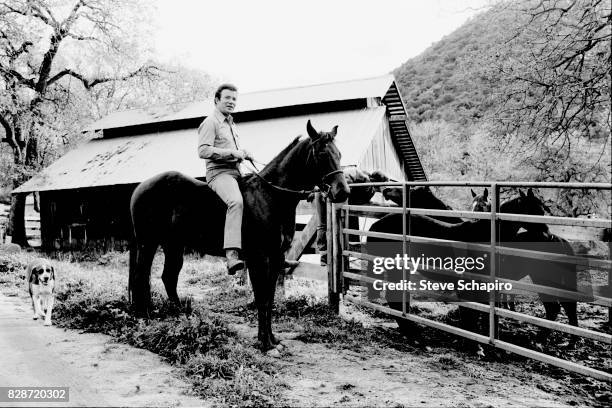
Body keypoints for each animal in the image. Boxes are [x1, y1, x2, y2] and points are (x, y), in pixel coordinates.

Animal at [128, 120, 350, 350]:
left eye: (339, 153)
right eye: (322, 154)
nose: (342, 191)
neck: (270, 196)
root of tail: (141, 186)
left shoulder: (275, 257)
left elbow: (270, 298)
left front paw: (271, 339)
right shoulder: (259, 258)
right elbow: (262, 298)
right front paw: (265, 343)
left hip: (173, 245)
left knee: (168, 277)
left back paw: (178, 317)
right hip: (148, 243)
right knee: (140, 276)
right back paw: (143, 316)